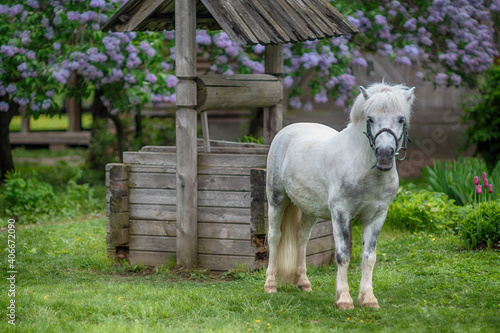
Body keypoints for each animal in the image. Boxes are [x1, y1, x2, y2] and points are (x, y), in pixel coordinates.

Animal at [266, 82, 414, 308]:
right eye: (370, 118)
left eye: (401, 119)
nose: (384, 154)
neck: (363, 169)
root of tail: (288, 130)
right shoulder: (341, 213)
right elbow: (343, 255)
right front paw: (344, 299)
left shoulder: (377, 216)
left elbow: (369, 257)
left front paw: (368, 299)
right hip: (276, 199)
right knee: (274, 236)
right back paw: (270, 285)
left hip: (310, 210)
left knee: (302, 239)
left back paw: (304, 283)